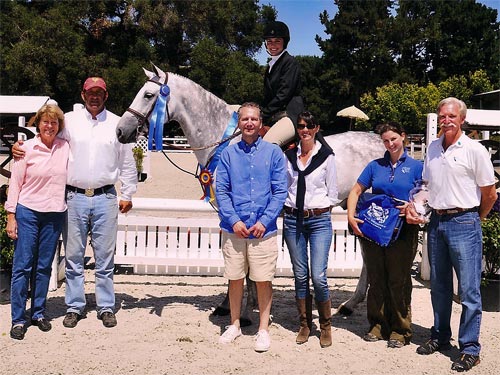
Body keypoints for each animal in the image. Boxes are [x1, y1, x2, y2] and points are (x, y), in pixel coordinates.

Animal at [117, 64, 382, 324]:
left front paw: (242, 310)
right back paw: (351, 305)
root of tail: (381, 143)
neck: (225, 141)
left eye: (148, 95)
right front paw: (242, 302)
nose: (120, 131)